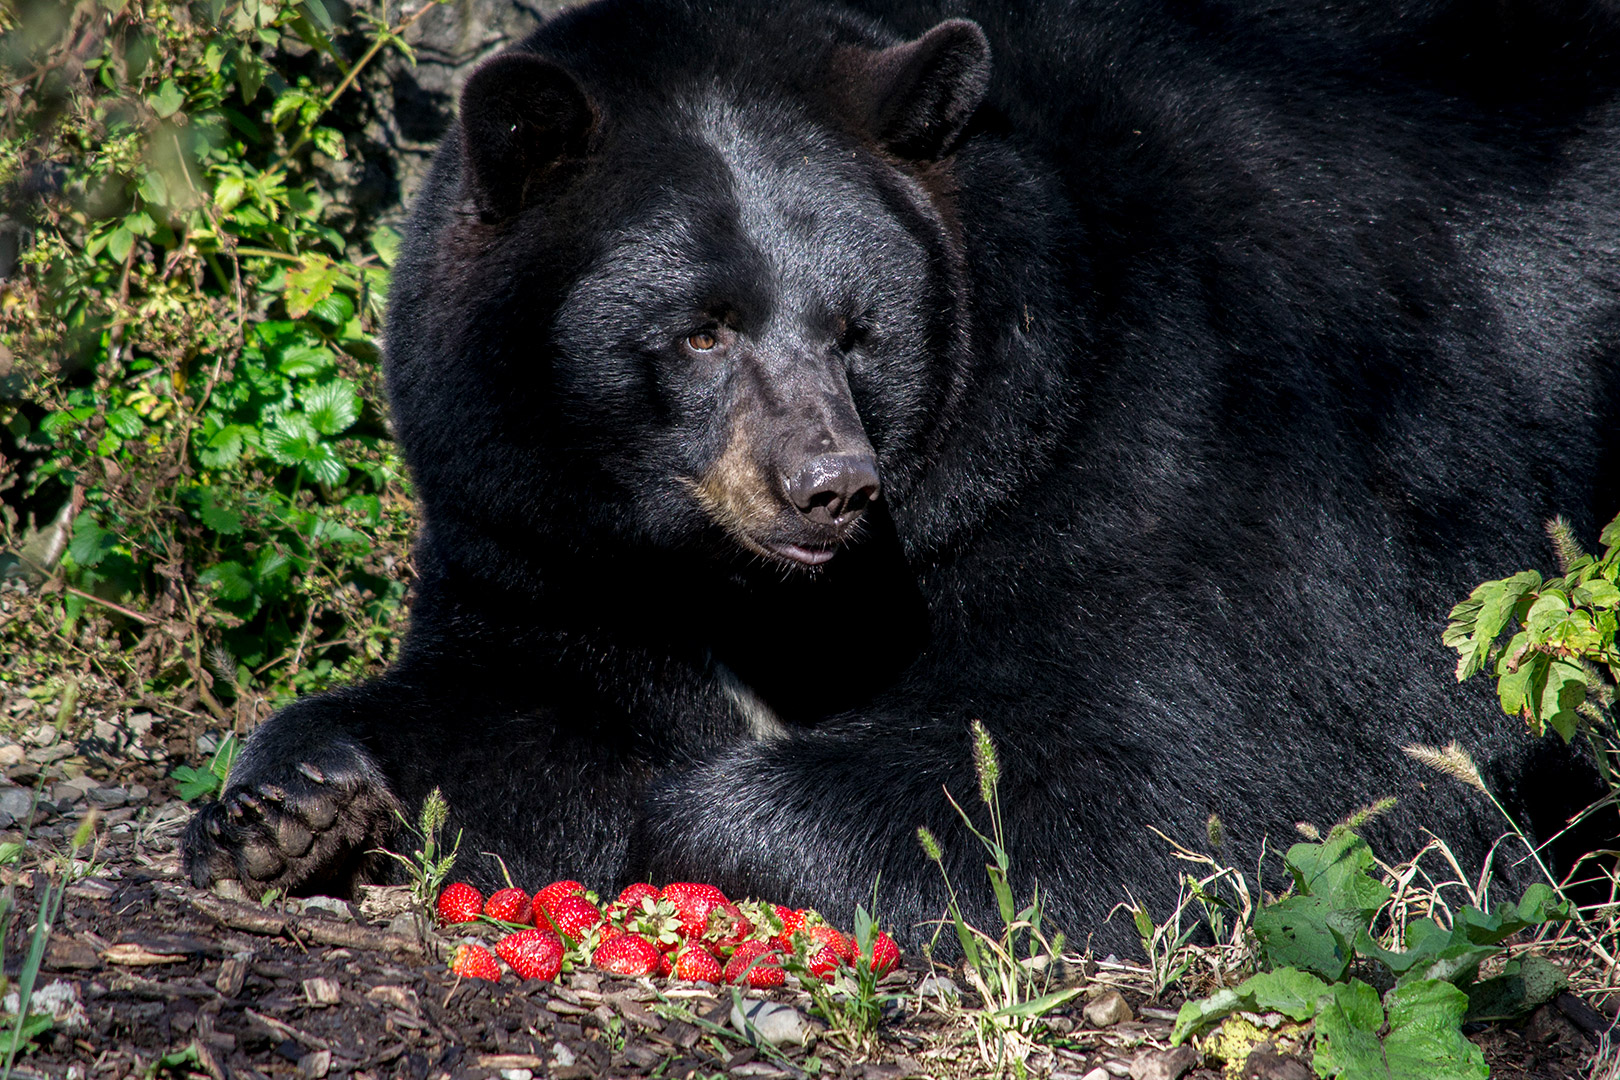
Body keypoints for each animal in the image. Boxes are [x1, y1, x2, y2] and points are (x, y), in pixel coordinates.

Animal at [180, 0, 1620, 945]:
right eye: (701, 330)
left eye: (857, 328)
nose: (830, 487)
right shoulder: (546, 529)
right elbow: (521, 705)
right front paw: (292, 808)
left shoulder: (1195, 420)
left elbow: (1233, 755)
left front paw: (718, 827)